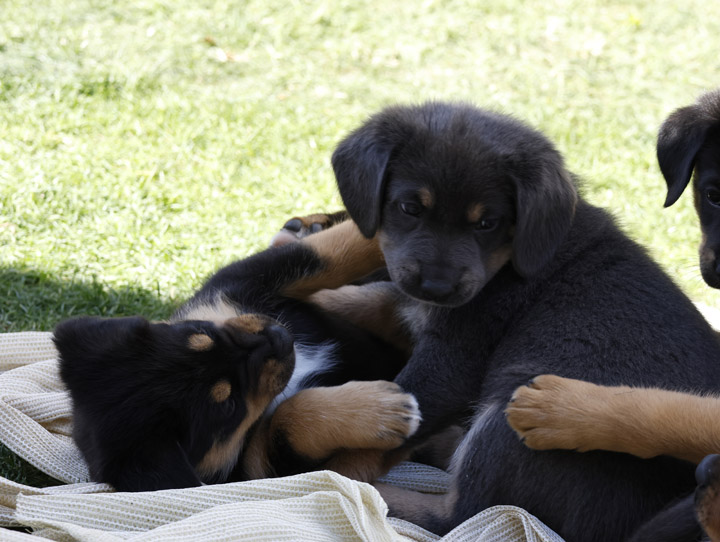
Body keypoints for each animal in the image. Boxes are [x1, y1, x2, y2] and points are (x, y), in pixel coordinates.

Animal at [57, 219, 422, 496]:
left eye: (201, 333)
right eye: (229, 406)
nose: (276, 338)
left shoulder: (243, 280)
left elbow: (329, 251)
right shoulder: (269, 469)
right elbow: (287, 419)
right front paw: (383, 410)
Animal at [324, 103, 720, 542]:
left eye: (487, 223)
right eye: (410, 208)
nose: (436, 285)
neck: (512, 258)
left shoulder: (454, 359)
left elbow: (379, 434)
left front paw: (333, 465)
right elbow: (375, 298)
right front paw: (313, 295)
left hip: (507, 414)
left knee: (468, 514)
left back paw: (369, 490)